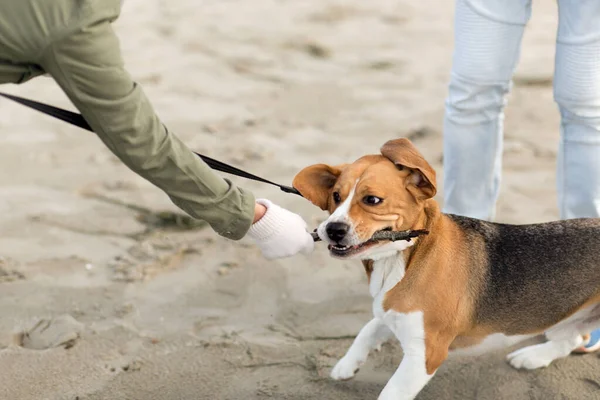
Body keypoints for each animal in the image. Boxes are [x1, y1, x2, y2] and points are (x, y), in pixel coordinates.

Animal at [292, 138, 600, 400]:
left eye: (372, 200)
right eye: (335, 196)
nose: (332, 229)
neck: (407, 256)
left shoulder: (424, 355)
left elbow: (391, 391)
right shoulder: (392, 312)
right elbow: (368, 329)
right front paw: (347, 364)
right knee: (573, 338)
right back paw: (533, 357)